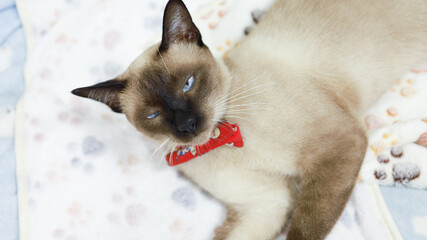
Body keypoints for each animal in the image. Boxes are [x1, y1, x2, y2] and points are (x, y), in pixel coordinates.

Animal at [72, 0, 427, 239]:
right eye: (154, 114)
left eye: (188, 83)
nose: (187, 125)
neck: (222, 139)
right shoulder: (267, 205)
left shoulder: (337, 146)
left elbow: (304, 228)